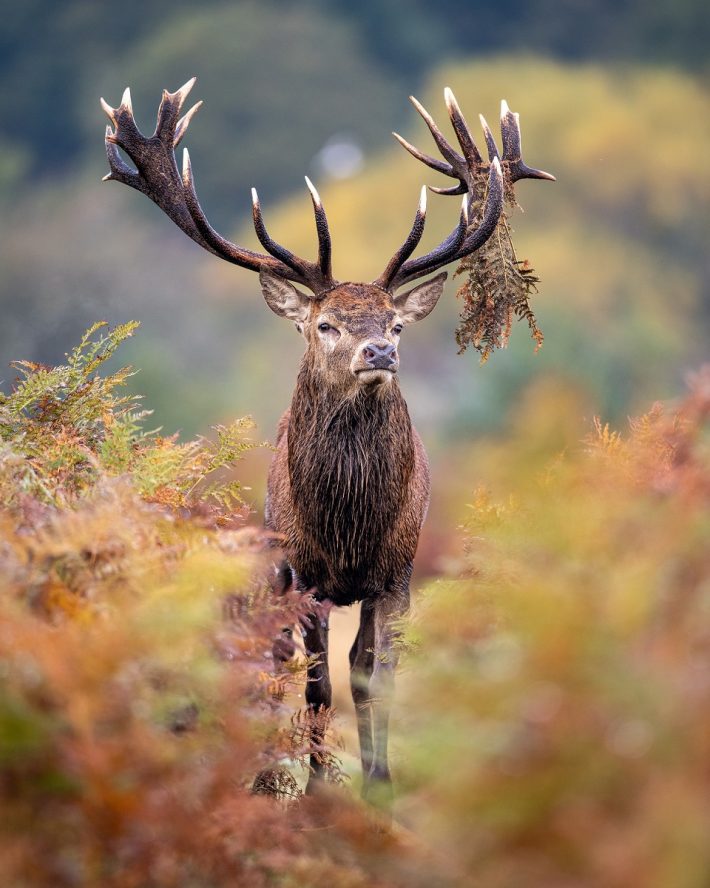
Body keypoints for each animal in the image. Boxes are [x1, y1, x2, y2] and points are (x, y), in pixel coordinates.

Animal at [100, 78, 553, 805]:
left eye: (396, 323)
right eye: (326, 324)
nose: (379, 352)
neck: (347, 527)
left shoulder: (397, 573)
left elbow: (375, 675)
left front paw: (379, 785)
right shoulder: (304, 573)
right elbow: (316, 685)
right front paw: (317, 792)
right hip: (271, 569)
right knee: (279, 657)